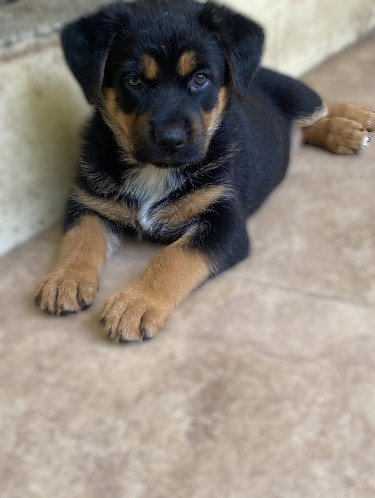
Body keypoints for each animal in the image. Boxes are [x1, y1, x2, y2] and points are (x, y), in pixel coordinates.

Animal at [33, 0, 374, 342]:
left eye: (200, 79)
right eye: (133, 81)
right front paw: (64, 278)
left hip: (297, 95)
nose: (171, 139)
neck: (154, 172)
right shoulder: (90, 202)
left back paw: (354, 121)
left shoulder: (224, 223)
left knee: (321, 108)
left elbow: (175, 258)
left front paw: (136, 303)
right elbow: (81, 238)